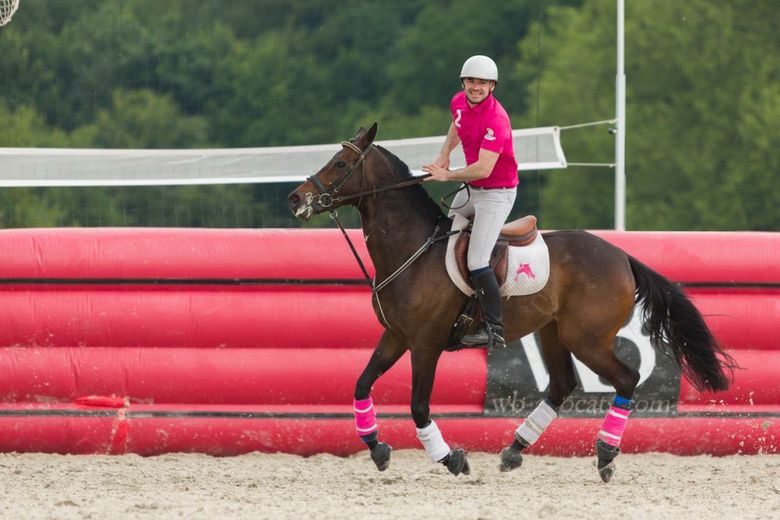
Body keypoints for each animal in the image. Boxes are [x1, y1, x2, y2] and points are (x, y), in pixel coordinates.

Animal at [287, 124, 735, 482]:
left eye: (341, 163)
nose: (295, 198)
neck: (412, 249)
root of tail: (622, 256)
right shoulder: (396, 337)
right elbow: (361, 385)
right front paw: (377, 448)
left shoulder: (426, 344)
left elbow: (418, 407)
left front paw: (451, 459)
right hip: (554, 333)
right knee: (561, 385)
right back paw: (514, 449)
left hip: (586, 339)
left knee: (626, 379)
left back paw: (606, 454)